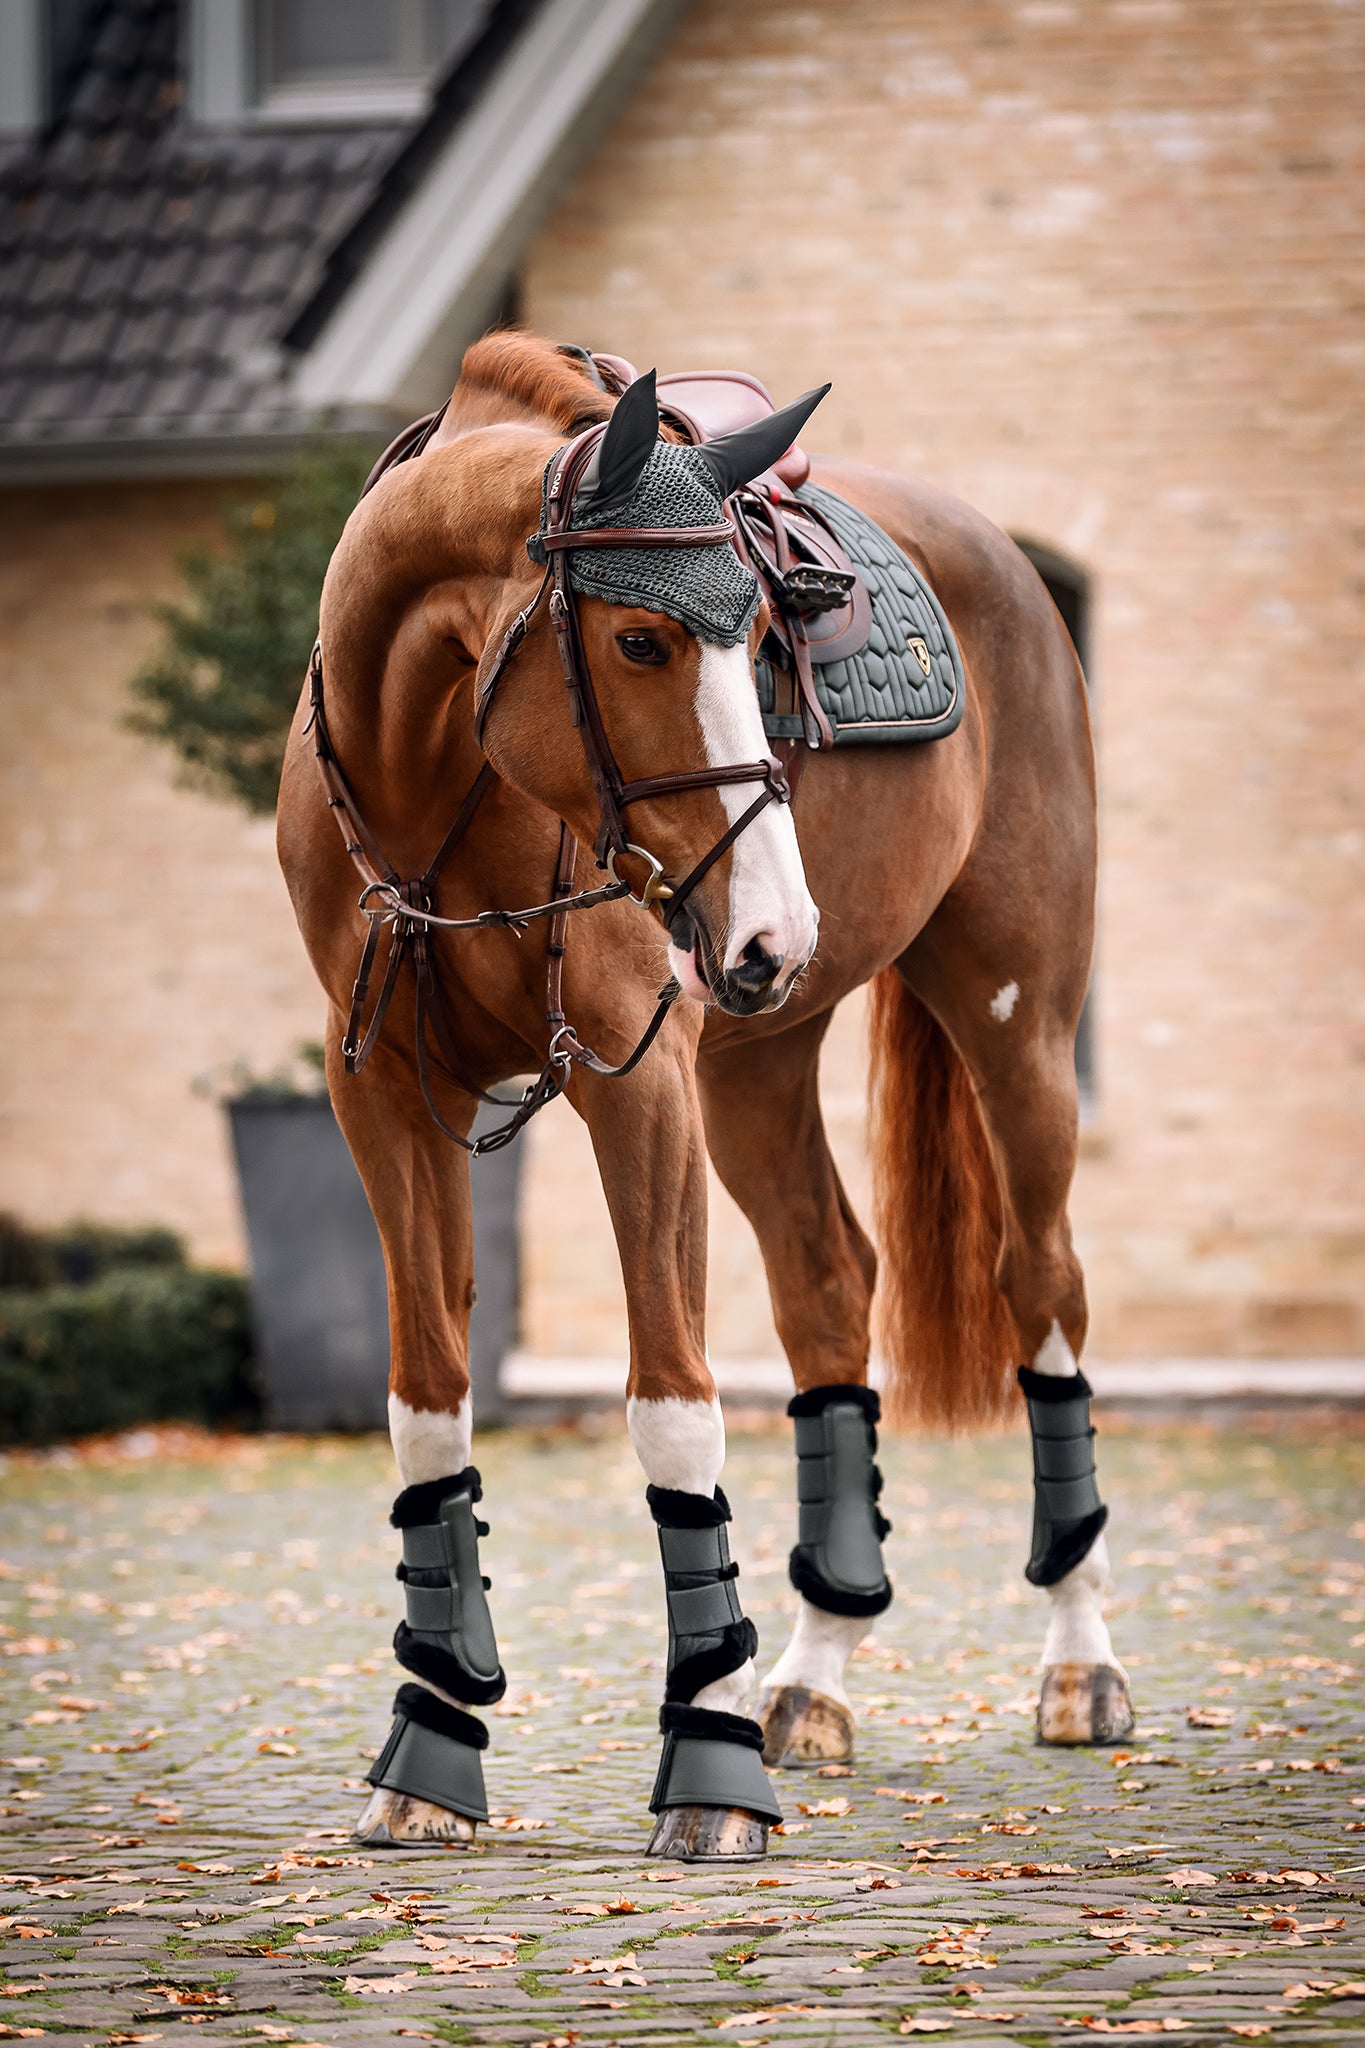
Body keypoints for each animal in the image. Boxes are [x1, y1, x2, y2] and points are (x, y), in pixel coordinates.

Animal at [275, 329, 1130, 1861]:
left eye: (765, 636)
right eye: (640, 639)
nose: (775, 929)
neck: (436, 774)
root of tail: (1001, 555)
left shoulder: (640, 1084)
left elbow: (673, 1408)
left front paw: (711, 1766)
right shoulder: (382, 1094)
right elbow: (427, 1404)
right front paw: (431, 1743)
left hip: (1013, 1022)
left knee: (1044, 1291)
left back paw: (1078, 1663)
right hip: (759, 1059)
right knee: (829, 1290)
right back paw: (812, 1675)